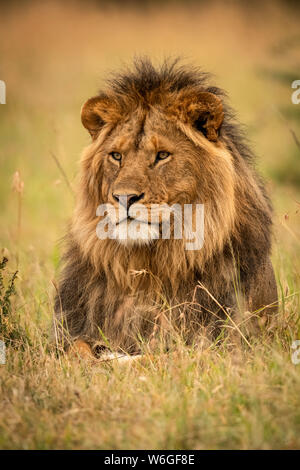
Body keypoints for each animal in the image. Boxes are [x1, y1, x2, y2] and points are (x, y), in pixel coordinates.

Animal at [54, 57, 276, 356]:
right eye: (116, 156)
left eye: (162, 155)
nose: (123, 197)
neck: (149, 268)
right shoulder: (72, 329)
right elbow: (75, 349)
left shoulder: (220, 342)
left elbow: (155, 356)